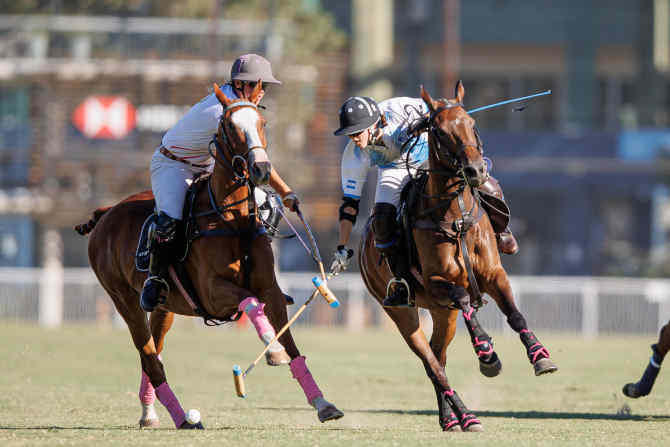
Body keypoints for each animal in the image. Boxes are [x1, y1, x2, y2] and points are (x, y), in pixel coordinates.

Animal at [76, 82, 344, 428]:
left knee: (154, 353)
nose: (261, 169)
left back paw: (150, 414)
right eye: (228, 126)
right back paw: (183, 418)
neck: (232, 220)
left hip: (166, 307)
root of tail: (106, 212)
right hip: (123, 299)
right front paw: (272, 353)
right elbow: (250, 303)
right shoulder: (212, 293)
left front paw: (323, 404)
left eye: (263, 123)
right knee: (149, 358)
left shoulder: (271, 290)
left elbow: (292, 345)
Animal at [360, 82, 560, 432]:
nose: (475, 170)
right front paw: (487, 354)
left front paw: (540, 355)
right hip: (403, 312)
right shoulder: (438, 282)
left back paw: (451, 419)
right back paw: (465, 416)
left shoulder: (494, 274)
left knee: (439, 356)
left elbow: (515, 314)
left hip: (442, 314)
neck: (454, 217)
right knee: (431, 363)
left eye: (472, 124)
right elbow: (466, 300)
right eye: (439, 131)